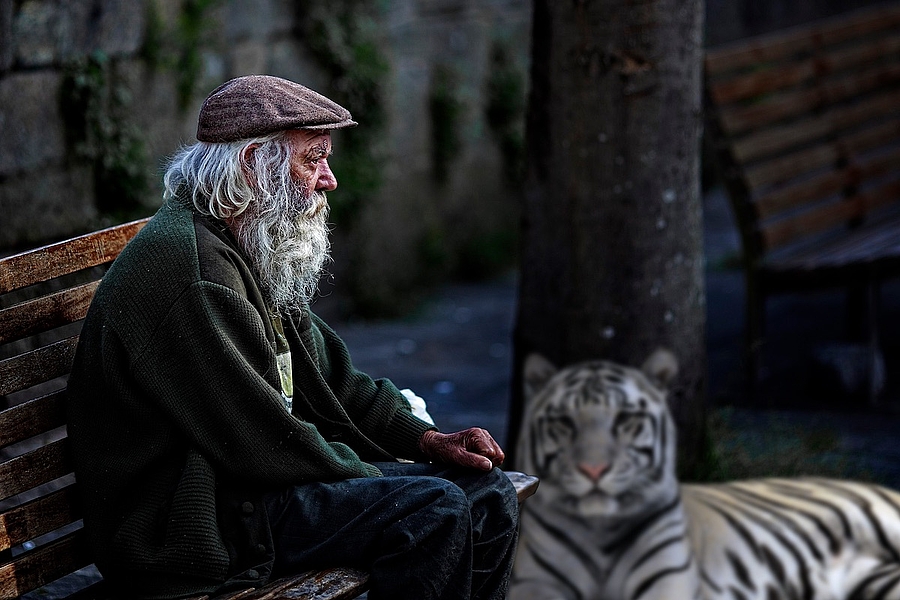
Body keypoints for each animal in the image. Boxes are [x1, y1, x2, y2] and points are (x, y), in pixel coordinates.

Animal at [510, 350, 900, 600]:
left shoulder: (666, 582)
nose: (594, 470)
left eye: (625, 419)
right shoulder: (537, 585)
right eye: (564, 422)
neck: (599, 530)